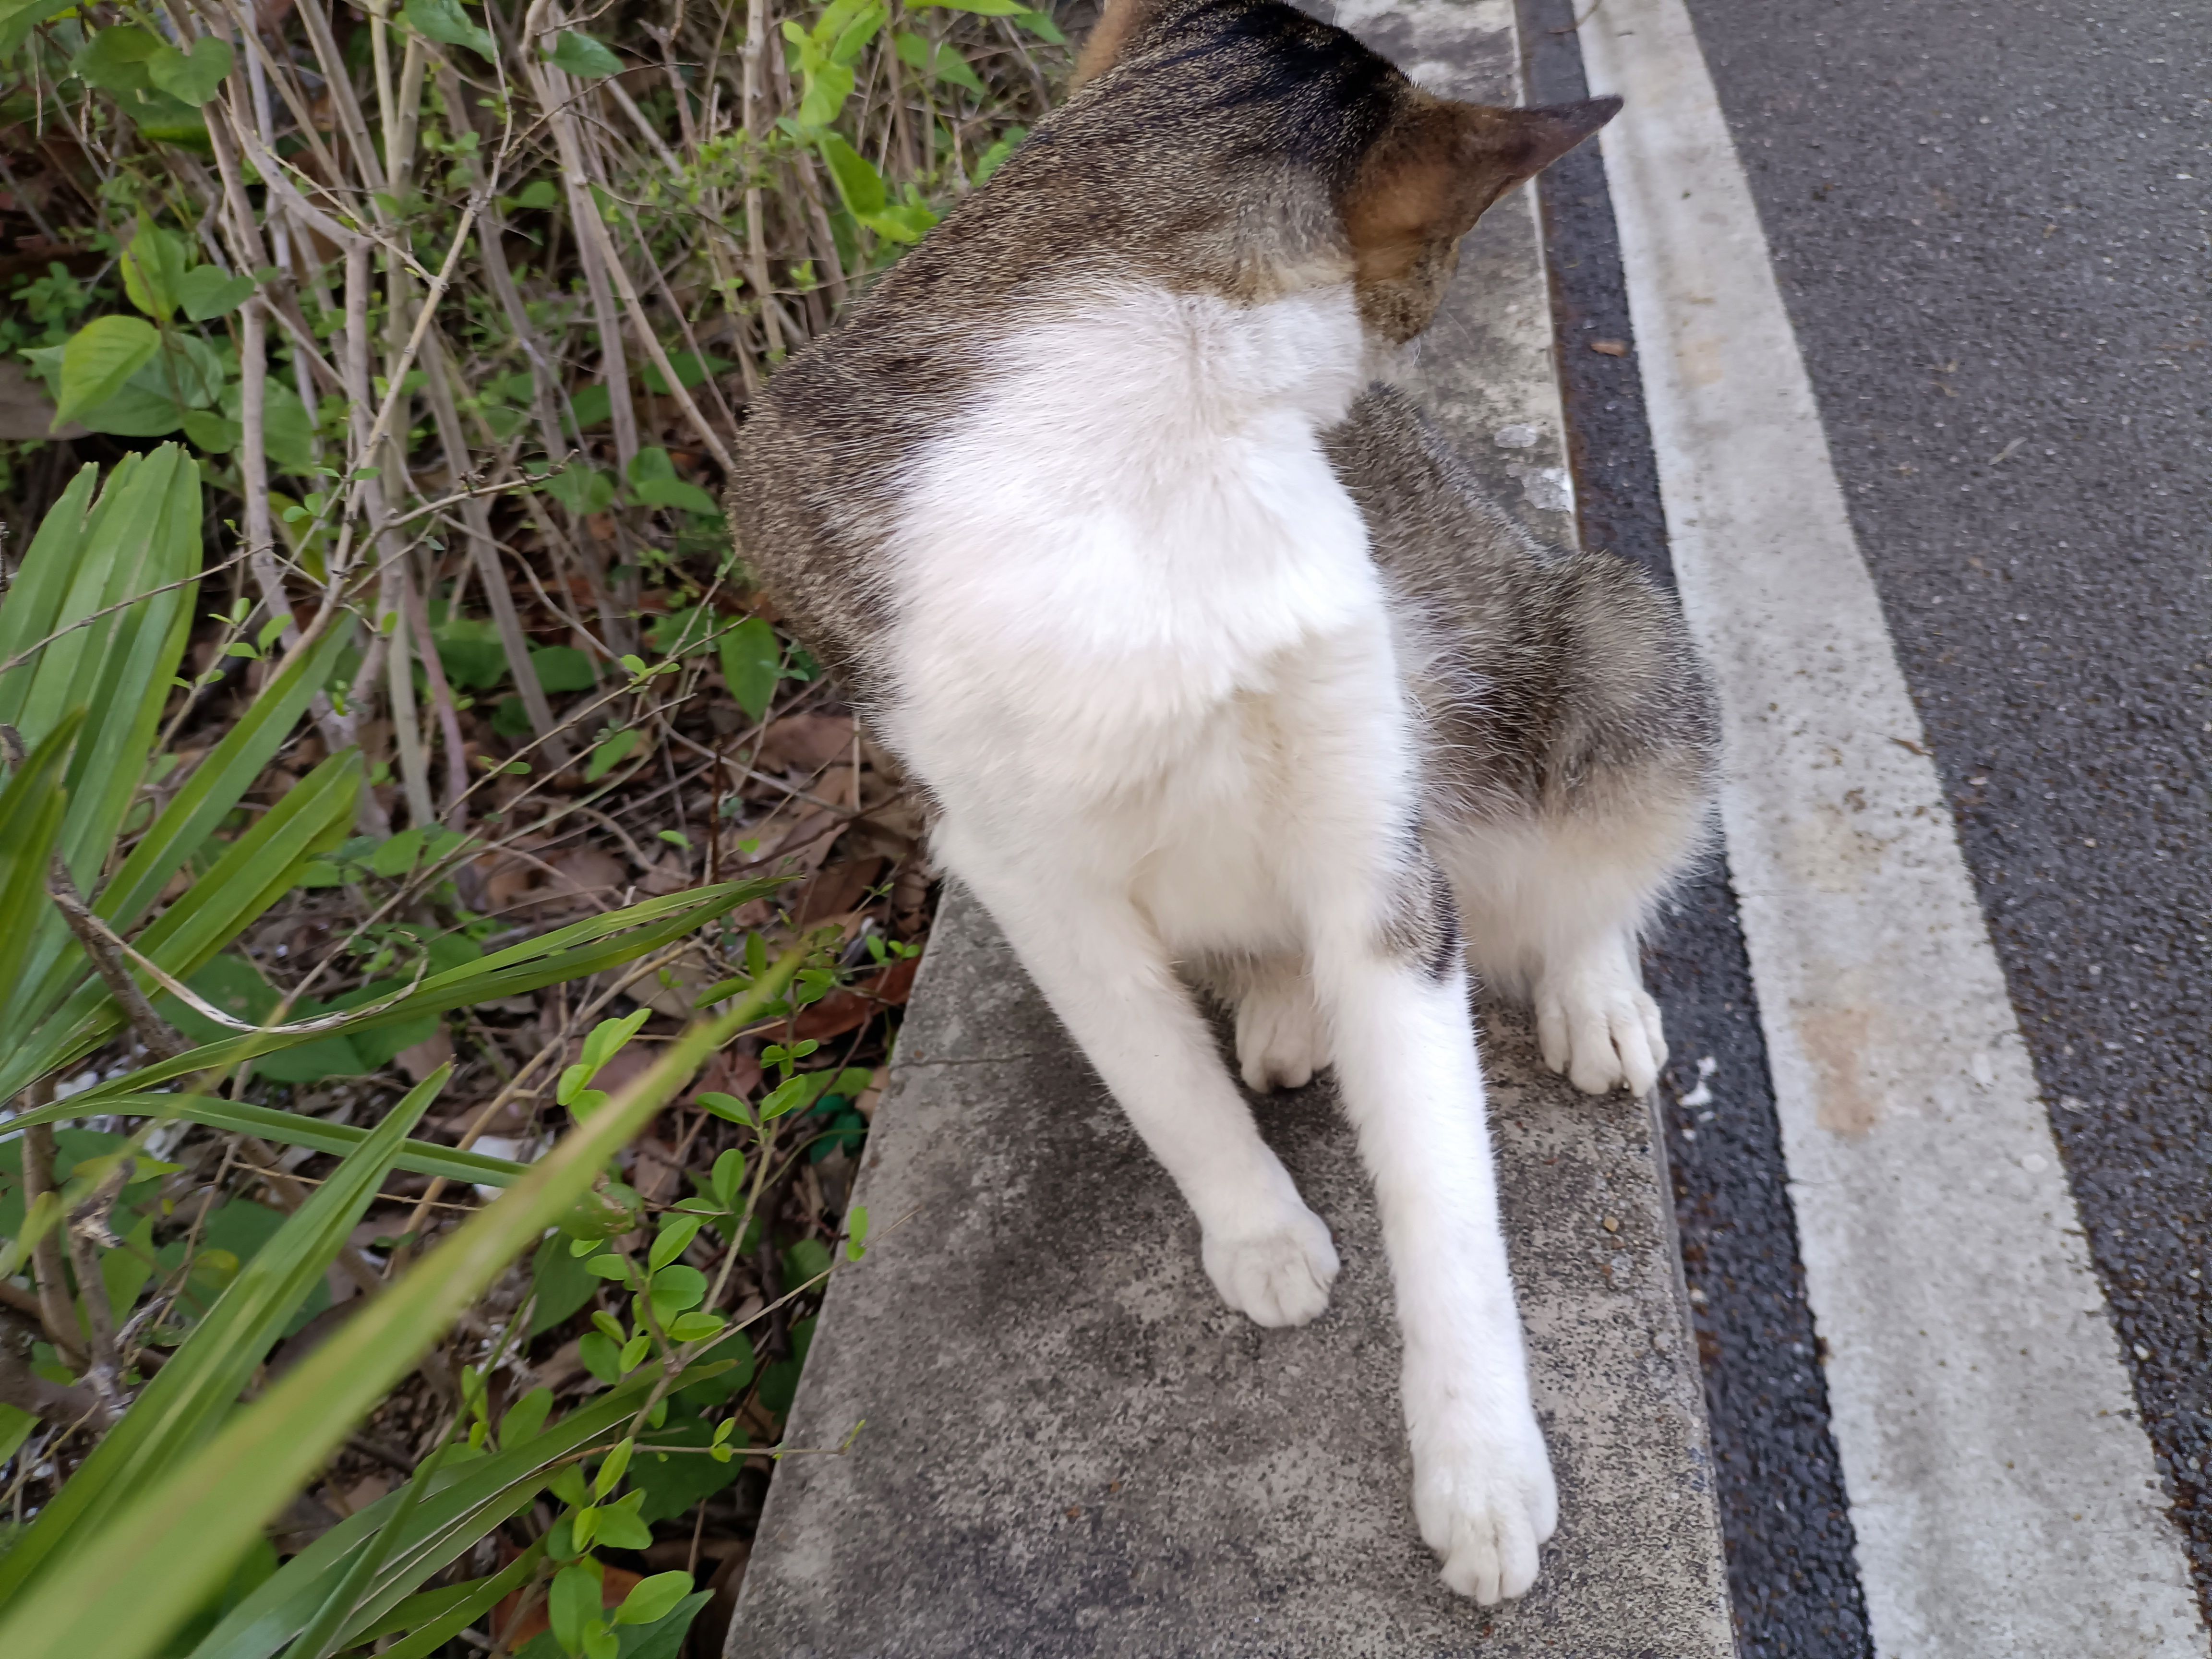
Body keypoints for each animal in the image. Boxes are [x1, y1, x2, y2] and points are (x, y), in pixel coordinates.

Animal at [727, 0, 1717, 1605]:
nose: (1409, 348)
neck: (1135, 412)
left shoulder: (1379, 853)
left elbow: (1445, 1196)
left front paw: (1481, 1465)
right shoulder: (1018, 864)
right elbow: (1158, 1079)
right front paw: (1260, 1230)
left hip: (1609, 646)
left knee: (1600, 838)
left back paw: (1589, 987)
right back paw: (1284, 1008)